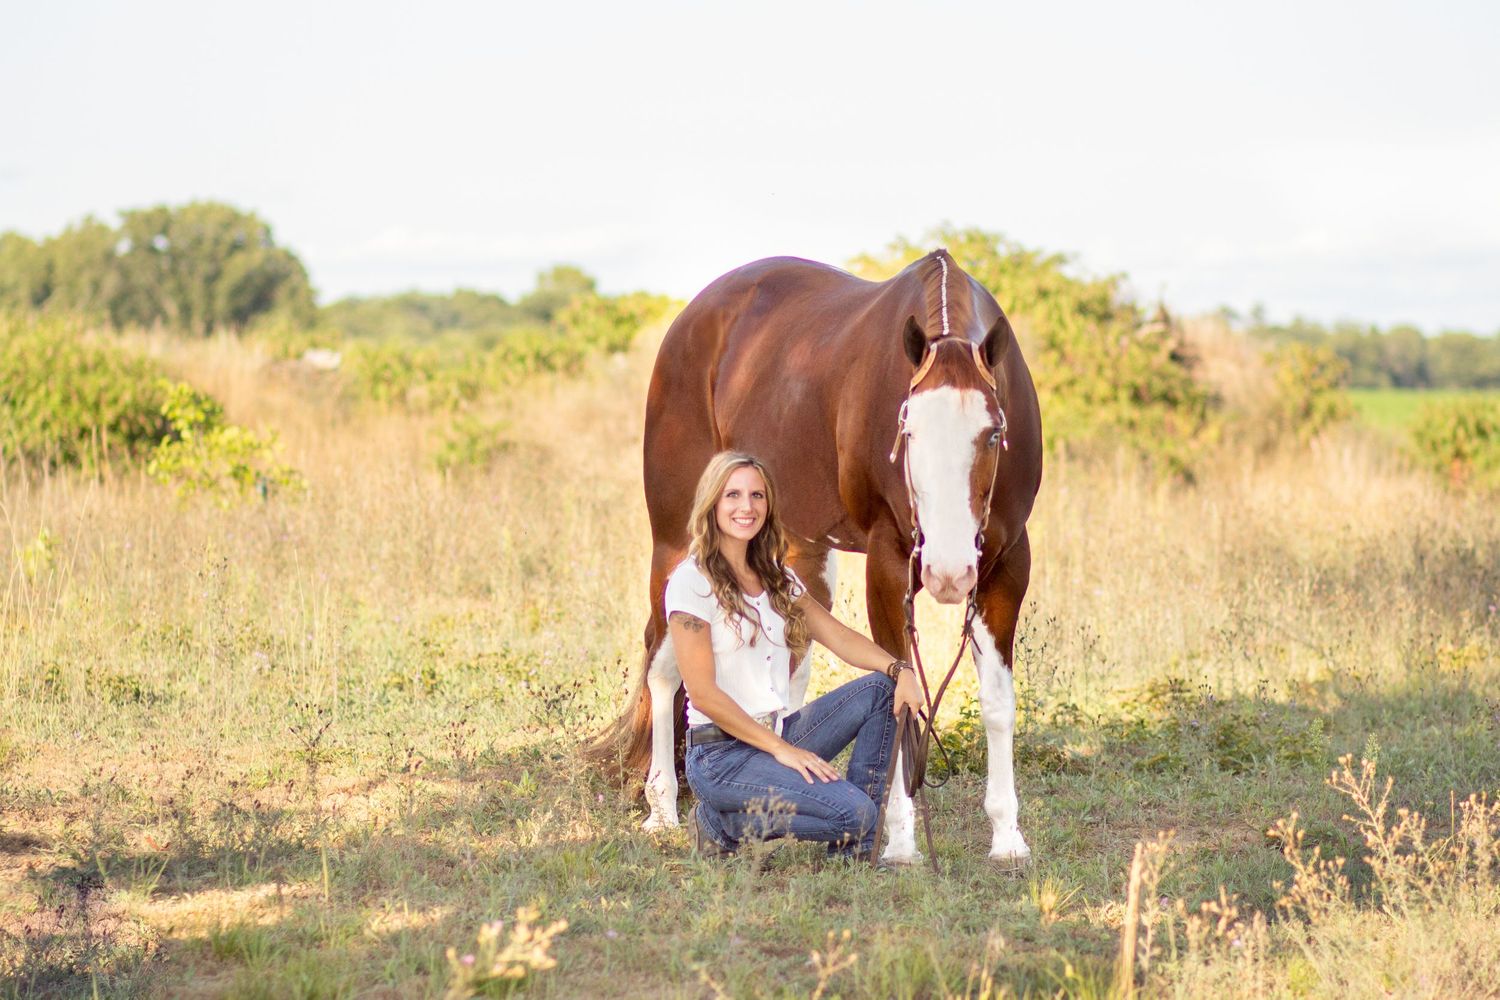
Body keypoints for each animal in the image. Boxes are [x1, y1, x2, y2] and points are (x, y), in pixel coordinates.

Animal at [588, 249, 1042, 863]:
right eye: (908, 432)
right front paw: (901, 841)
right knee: (662, 664)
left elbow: (997, 702)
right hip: (673, 538)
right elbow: (901, 696)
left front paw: (1007, 836)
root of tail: (694, 316)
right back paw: (661, 807)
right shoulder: (889, 563)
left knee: (789, 667)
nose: (947, 573)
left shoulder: (1006, 563)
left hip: (798, 549)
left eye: (993, 434)